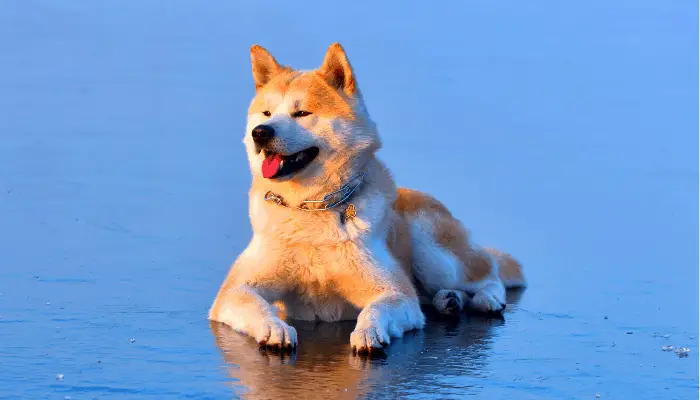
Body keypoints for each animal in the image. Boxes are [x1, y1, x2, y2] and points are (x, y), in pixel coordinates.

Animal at [209, 43, 524, 354]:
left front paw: (368, 332)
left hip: (433, 252)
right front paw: (274, 328)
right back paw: (449, 300)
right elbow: (255, 305)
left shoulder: (395, 292)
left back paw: (486, 298)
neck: (312, 207)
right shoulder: (235, 291)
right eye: (266, 113)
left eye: (302, 113)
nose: (260, 133)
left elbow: (377, 309)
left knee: (488, 271)